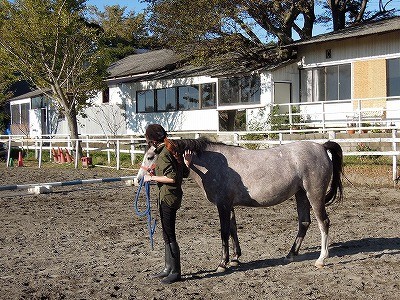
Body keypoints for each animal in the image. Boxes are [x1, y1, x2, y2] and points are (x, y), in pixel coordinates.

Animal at [136, 138, 342, 272]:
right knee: (304, 222)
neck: (211, 164)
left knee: (323, 223)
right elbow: (233, 229)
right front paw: (235, 259)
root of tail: (321, 147)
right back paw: (291, 254)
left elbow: (224, 232)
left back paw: (321, 259)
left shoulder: (223, 205)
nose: (139, 179)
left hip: (314, 195)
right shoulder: (229, 205)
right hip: (301, 195)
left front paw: (222, 263)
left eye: (150, 156)